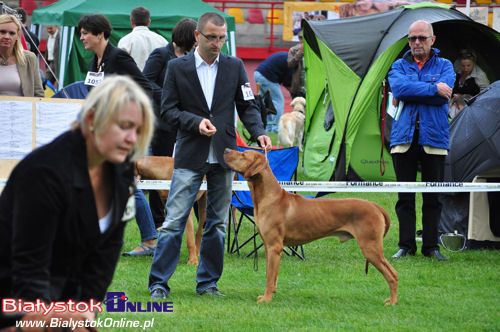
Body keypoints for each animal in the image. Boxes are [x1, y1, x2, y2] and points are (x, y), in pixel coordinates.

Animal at [224, 149, 398, 304]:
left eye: (243, 154)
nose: (225, 150)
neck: (270, 197)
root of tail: (376, 206)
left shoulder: (275, 247)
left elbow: (270, 276)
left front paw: (266, 299)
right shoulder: (268, 246)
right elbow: (270, 276)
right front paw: (269, 295)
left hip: (370, 247)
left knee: (393, 274)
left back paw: (392, 302)